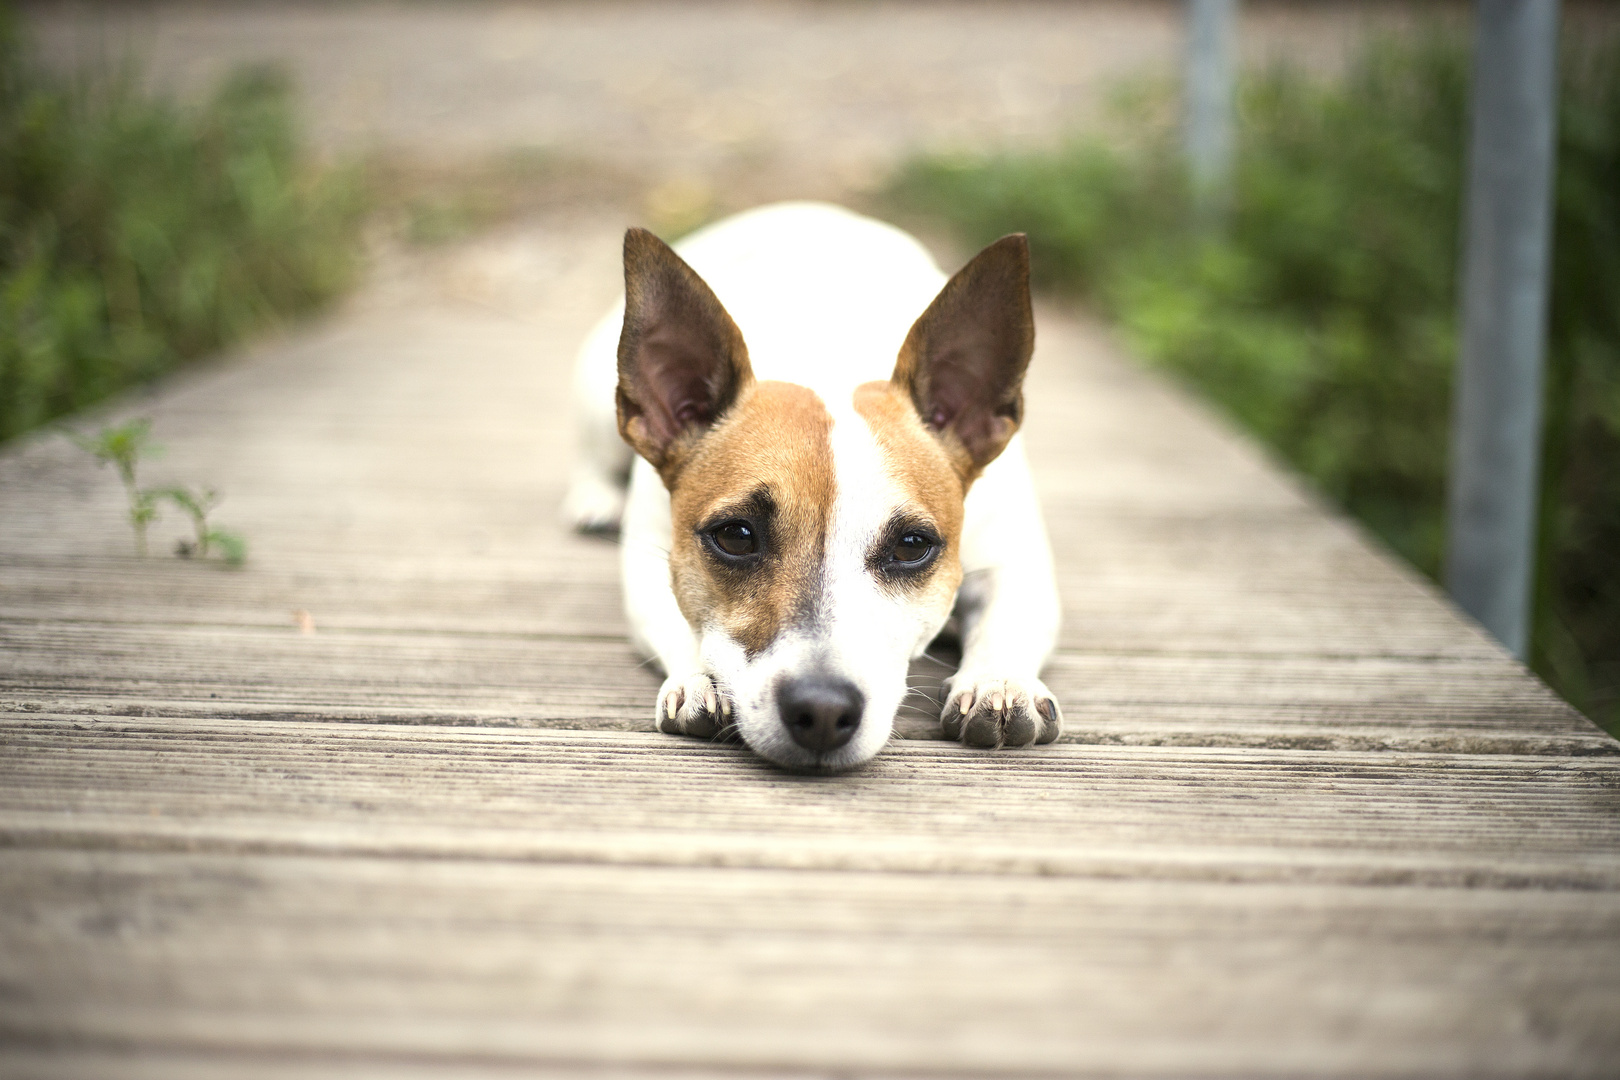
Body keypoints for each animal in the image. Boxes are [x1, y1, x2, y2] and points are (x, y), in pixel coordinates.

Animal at [567, 202, 1062, 773]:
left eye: (911, 546)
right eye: (735, 535)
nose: (823, 711)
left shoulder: (1015, 559)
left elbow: (1010, 616)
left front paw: (999, 681)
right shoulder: (649, 560)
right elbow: (677, 619)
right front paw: (696, 680)